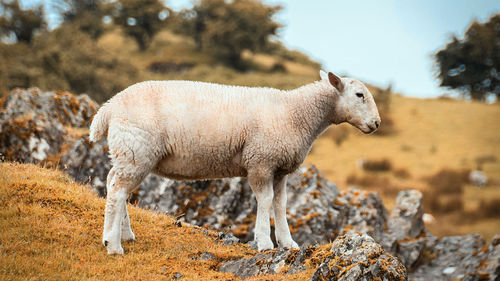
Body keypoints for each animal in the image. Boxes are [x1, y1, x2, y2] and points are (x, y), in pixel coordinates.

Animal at [90, 69, 380, 253]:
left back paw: (125, 235)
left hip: (129, 153)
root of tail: (109, 107)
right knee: (117, 192)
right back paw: (113, 245)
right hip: (136, 149)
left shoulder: (279, 168)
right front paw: (264, 242)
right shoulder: (260, 160)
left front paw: (288, 243)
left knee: (115, 185)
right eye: (359, 95)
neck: (295, 113)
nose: (377, 123)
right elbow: (265, 201)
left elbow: (280, 204)